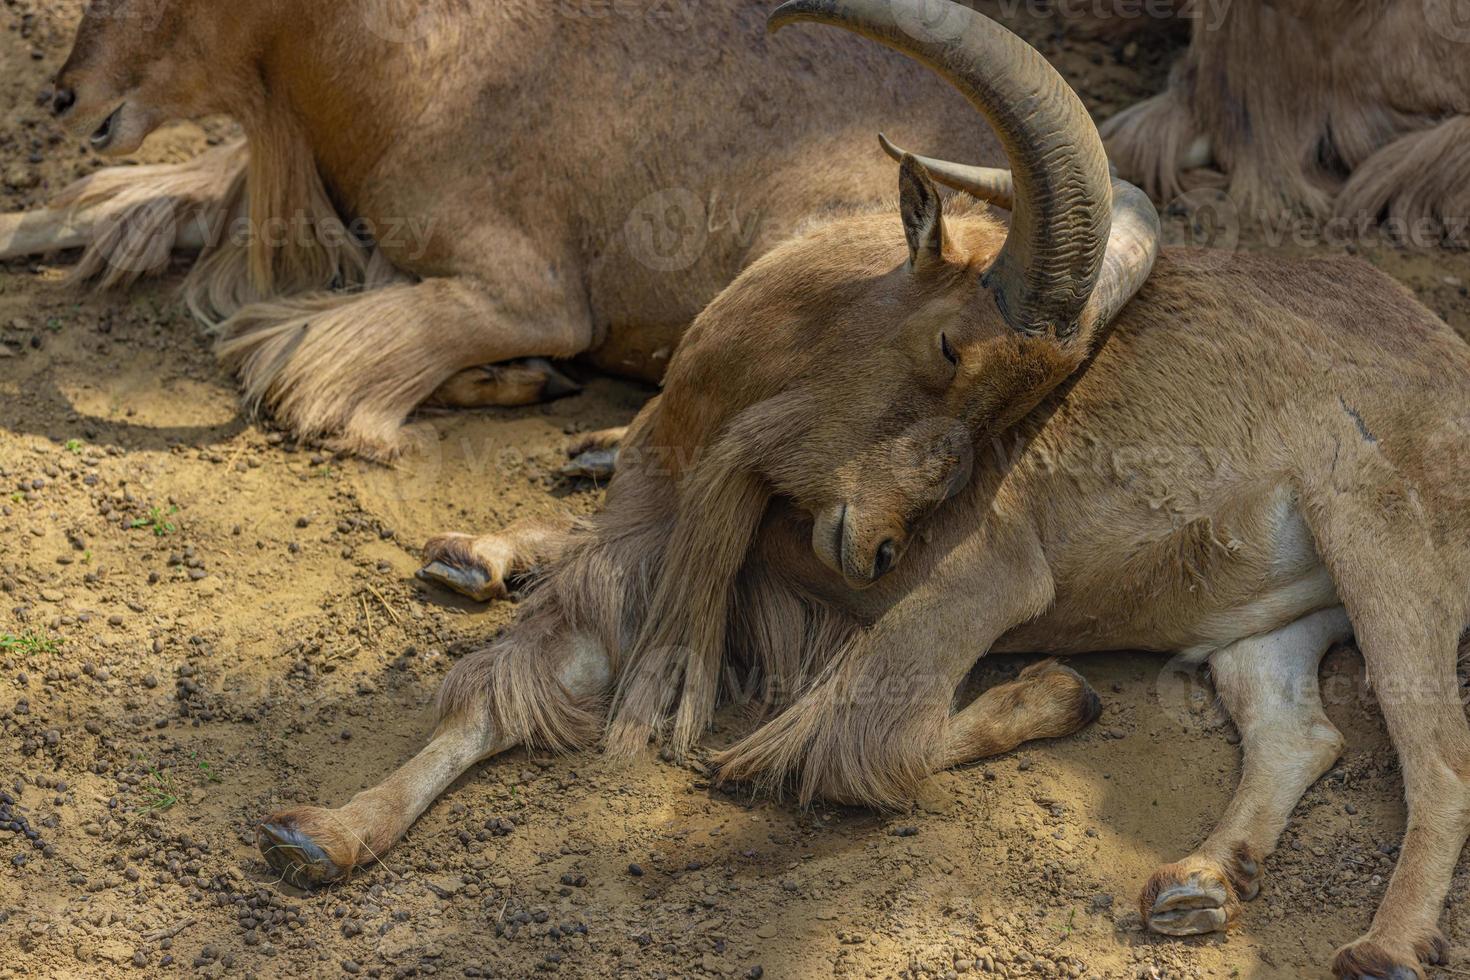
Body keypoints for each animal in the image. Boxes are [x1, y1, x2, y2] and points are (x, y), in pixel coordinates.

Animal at [258, 3, 1464, 975]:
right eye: (950, 344)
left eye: (1034, 396)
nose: (879, 547)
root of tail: (1444, 347)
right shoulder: (655, 561)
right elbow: (507, 693)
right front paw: (321, 831)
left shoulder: (986, 576)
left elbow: (855, 744)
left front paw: (1055, 694)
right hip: (1263, 622)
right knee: (1300, 731)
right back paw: (1201, 882)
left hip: (1385, 545)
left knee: (1436, 756)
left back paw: (1381, 945)